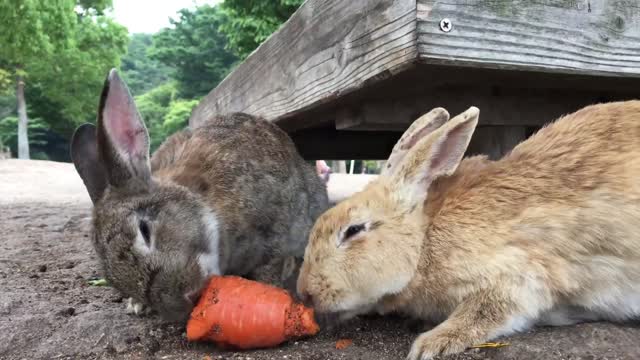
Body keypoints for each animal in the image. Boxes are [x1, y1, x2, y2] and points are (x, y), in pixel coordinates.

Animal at [72, 69, 328, 322]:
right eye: (115, 283)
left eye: (144, 229)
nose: (185, 301)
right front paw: (137, 304)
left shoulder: (276, 224)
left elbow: (270, 263)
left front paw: (272, 288)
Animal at [298, 101, 640, 360]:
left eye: (353, 230)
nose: (304, 293)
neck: (424, 241)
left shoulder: (518, 278)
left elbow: (484, 312)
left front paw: (430, 344)